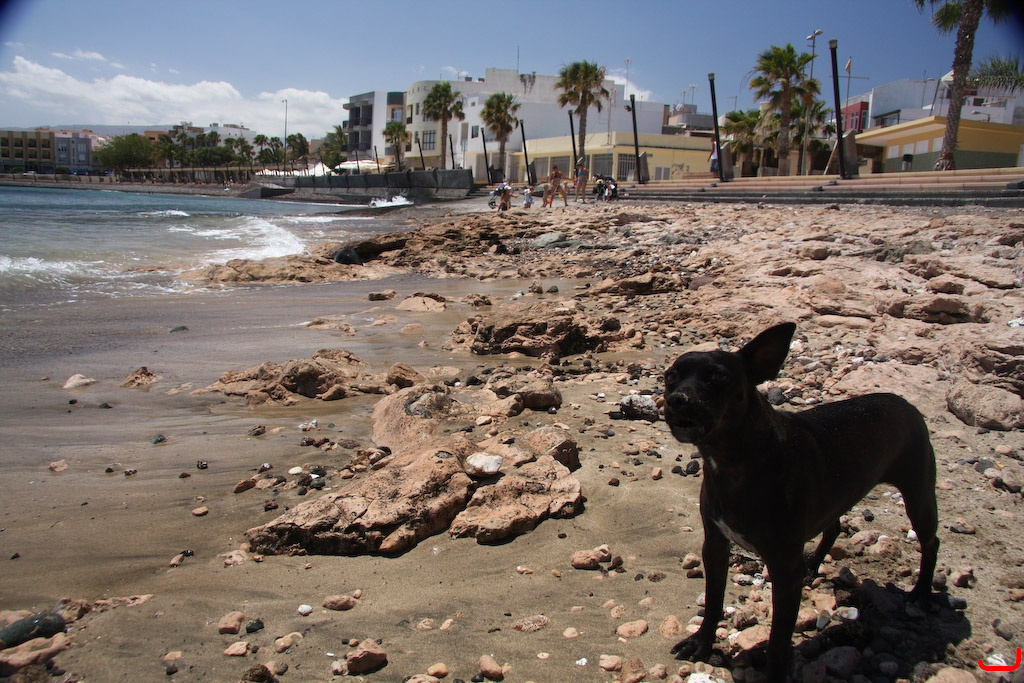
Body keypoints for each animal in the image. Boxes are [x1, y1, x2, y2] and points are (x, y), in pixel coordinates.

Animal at [663, 322, 938, 682]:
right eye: (670, 377)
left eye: (718, 377)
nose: (677, 400)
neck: (734, 461)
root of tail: (905, 403)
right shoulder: (715, 545)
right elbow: (712, 601)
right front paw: (702, 642)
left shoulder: (783, 568)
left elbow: (779, 638)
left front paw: (775, 672)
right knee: (833, 527)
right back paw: (813, 566)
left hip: (919, 495)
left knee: (931, 542)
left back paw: (921, 595)